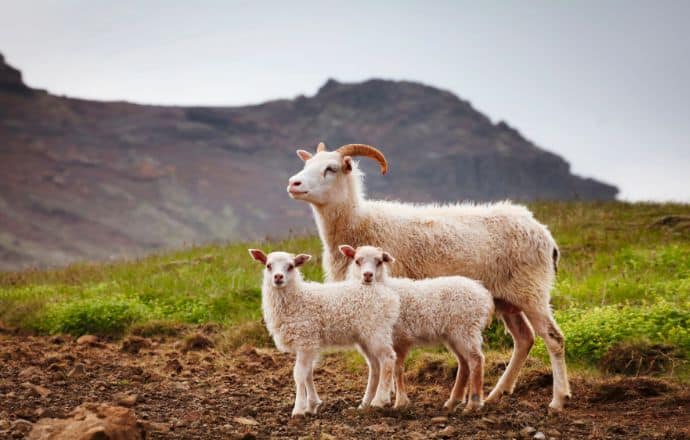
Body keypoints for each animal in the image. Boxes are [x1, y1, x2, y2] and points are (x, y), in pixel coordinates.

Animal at [247, 249, 398, 414]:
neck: (297, 298)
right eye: (268, 265)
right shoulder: (308, 344)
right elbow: (308, 373)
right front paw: (312, 405)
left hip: (377, 330)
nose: (278, 277)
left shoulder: (306, 339)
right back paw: (365, 404)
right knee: (375, 366)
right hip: (365, 336)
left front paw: (298, 409)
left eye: (291, 266)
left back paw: (380, 400)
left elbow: (299, 374)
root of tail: (387, 292)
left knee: (388, 358)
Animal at [338, 244, 490, 412]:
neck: (385, 286)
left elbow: (397, 369)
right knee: (464, 363)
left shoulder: (400, 338)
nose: (367, 275)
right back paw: (453, 401)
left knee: (476, 360)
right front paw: (398, 401)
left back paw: (473, 404)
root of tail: (481, 292)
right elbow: (394, 369)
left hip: (465, 329)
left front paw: (399, 402)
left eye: (379, 261)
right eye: (357, 261)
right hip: (454, 335)